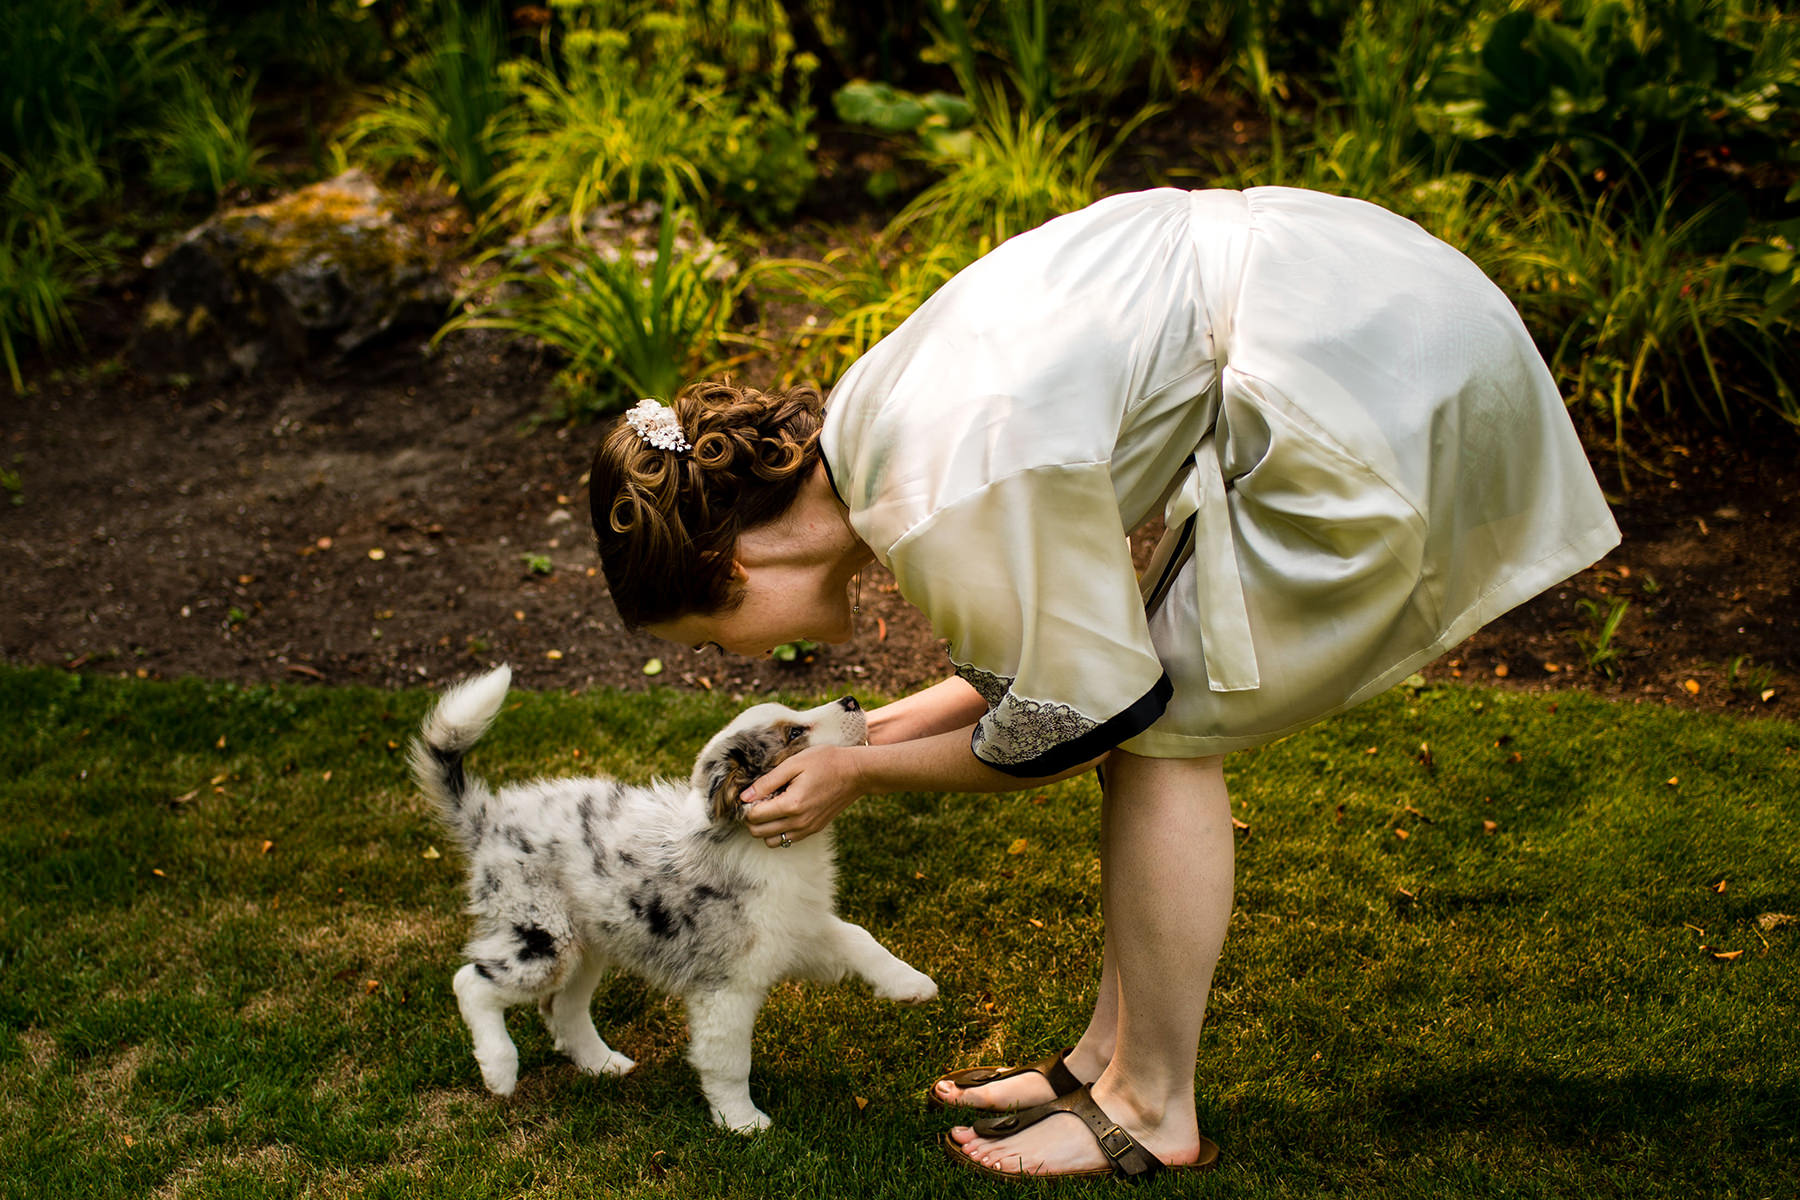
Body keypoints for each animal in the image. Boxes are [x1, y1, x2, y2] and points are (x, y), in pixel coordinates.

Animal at [410, 665, 943, 1137]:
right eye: (794, 731)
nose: (852, 700)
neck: (763, 846)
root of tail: (489, 818)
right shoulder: (725, 986)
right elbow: (728, 1060)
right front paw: (741, 1123)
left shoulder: (797, 928)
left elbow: (859, 937)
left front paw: (911, 984)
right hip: (542, 936)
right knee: (471, 982)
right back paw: (499, 1068)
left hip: (589, 942)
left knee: (563, 1007)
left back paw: (603, 1064)